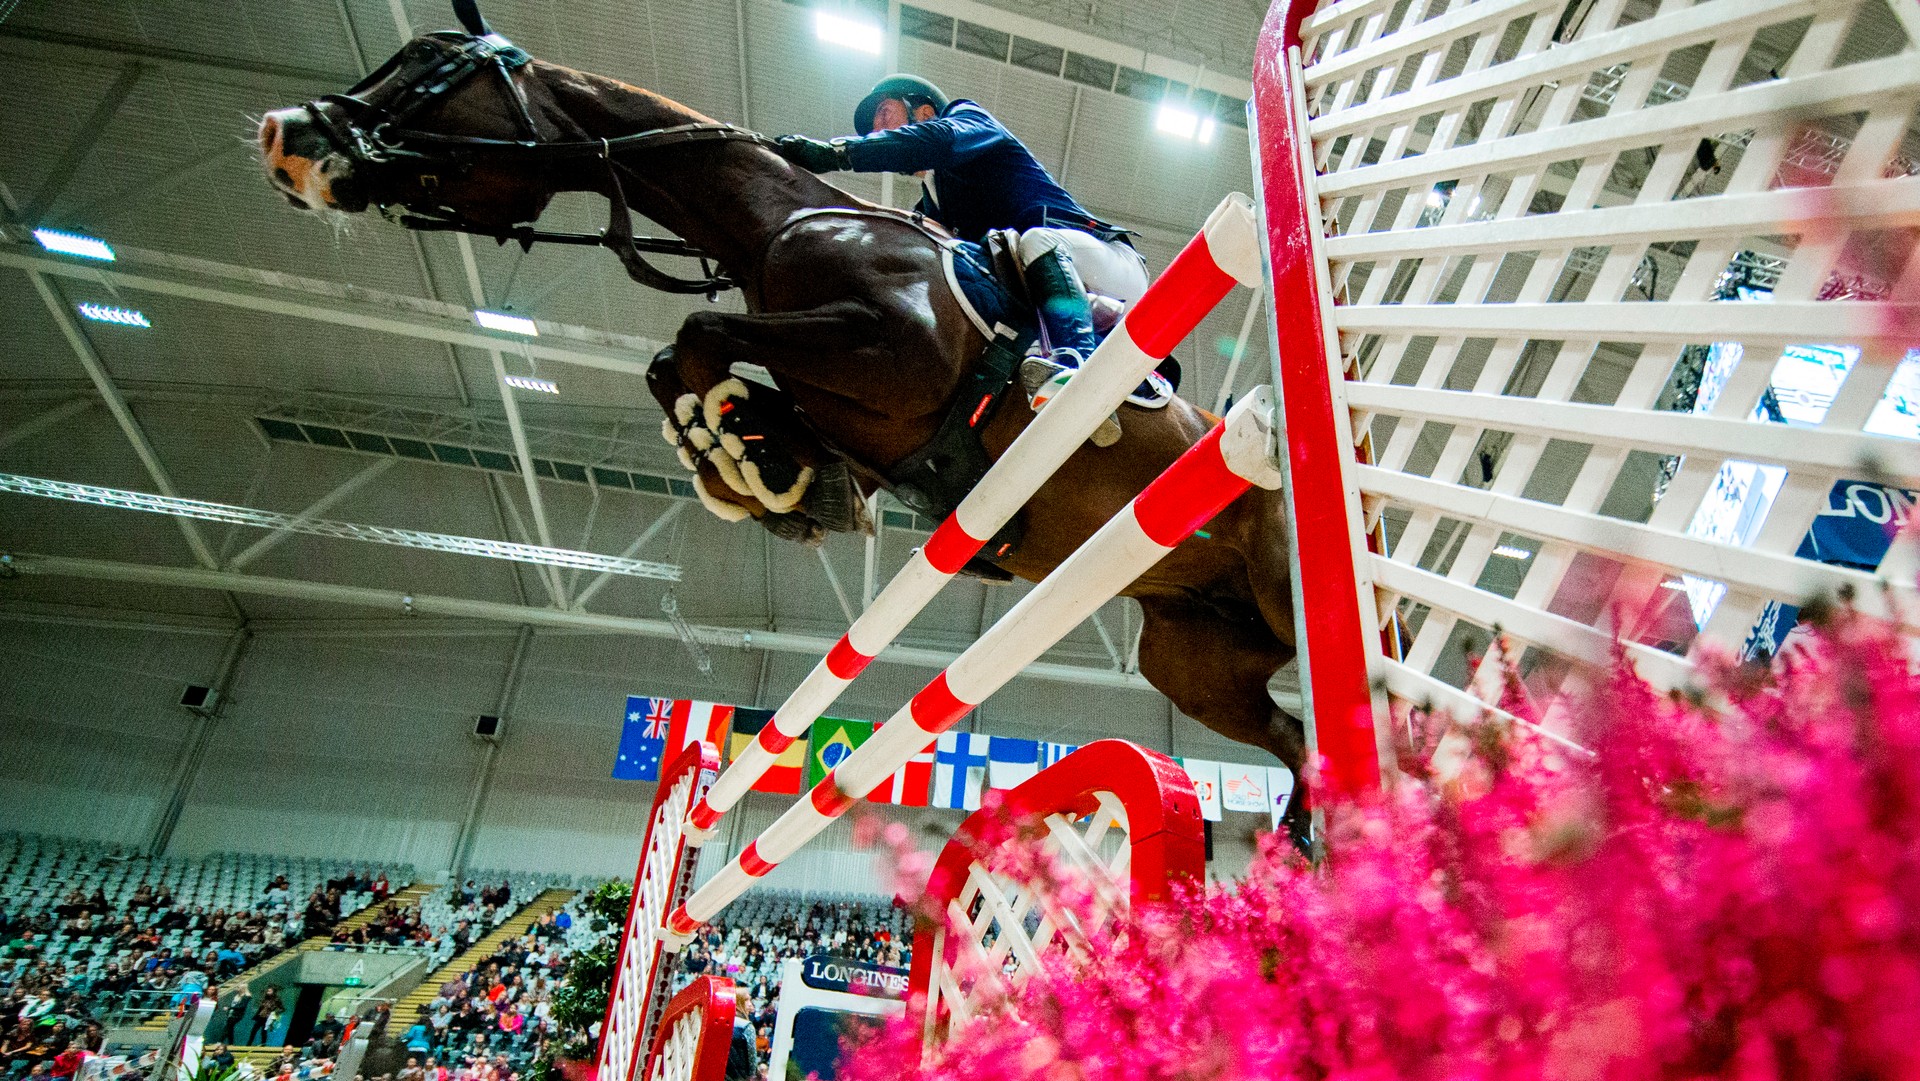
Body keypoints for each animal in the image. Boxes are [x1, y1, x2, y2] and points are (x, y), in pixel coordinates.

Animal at [255, 0, 1305, 837]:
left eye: (432, 62)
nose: (284, 135)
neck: (774, 224)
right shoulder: (867, 422)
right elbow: (685, 364)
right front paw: (758, 466)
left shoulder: (890, 353)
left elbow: (700, 327)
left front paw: (738, 454)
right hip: (1192, 655)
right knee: (1291, 736)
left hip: (1274, 576)